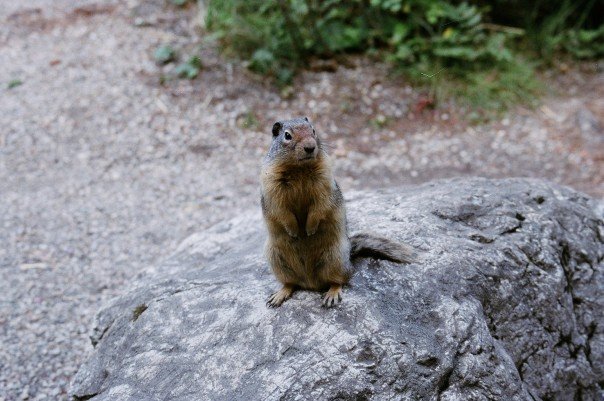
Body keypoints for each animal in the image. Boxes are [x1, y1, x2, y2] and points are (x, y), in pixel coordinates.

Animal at [260, 115, 416, 306]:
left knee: (340, 280)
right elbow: (281, 211)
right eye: (287, 135)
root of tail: (310, 283)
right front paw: (294, 231)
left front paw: (310, 229)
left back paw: (331, 295)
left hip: (335, 260)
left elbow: (320, 206)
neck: (299, 169)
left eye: (313, 130)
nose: (310, 147)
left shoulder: (324, 182)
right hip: (277, 261)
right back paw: (279, 295)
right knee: (291, 283)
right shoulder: (272, 187)